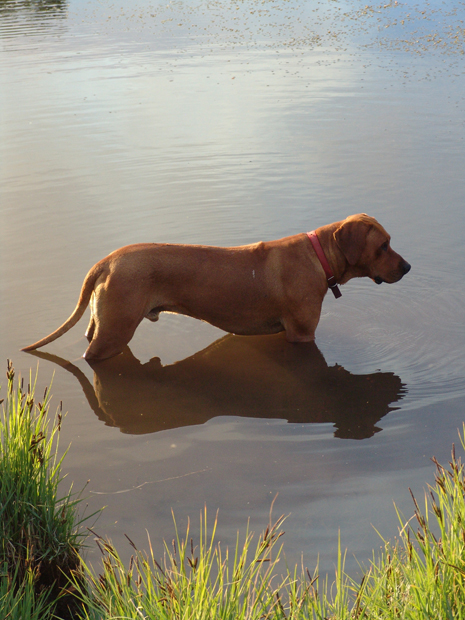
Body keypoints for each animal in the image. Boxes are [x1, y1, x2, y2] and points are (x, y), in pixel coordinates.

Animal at [21, 213, 408, 360]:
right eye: (384, 245)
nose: (407, 267)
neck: (318, 255)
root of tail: (107, 260)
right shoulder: (301, 333)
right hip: (115, 330)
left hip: (103, 323)